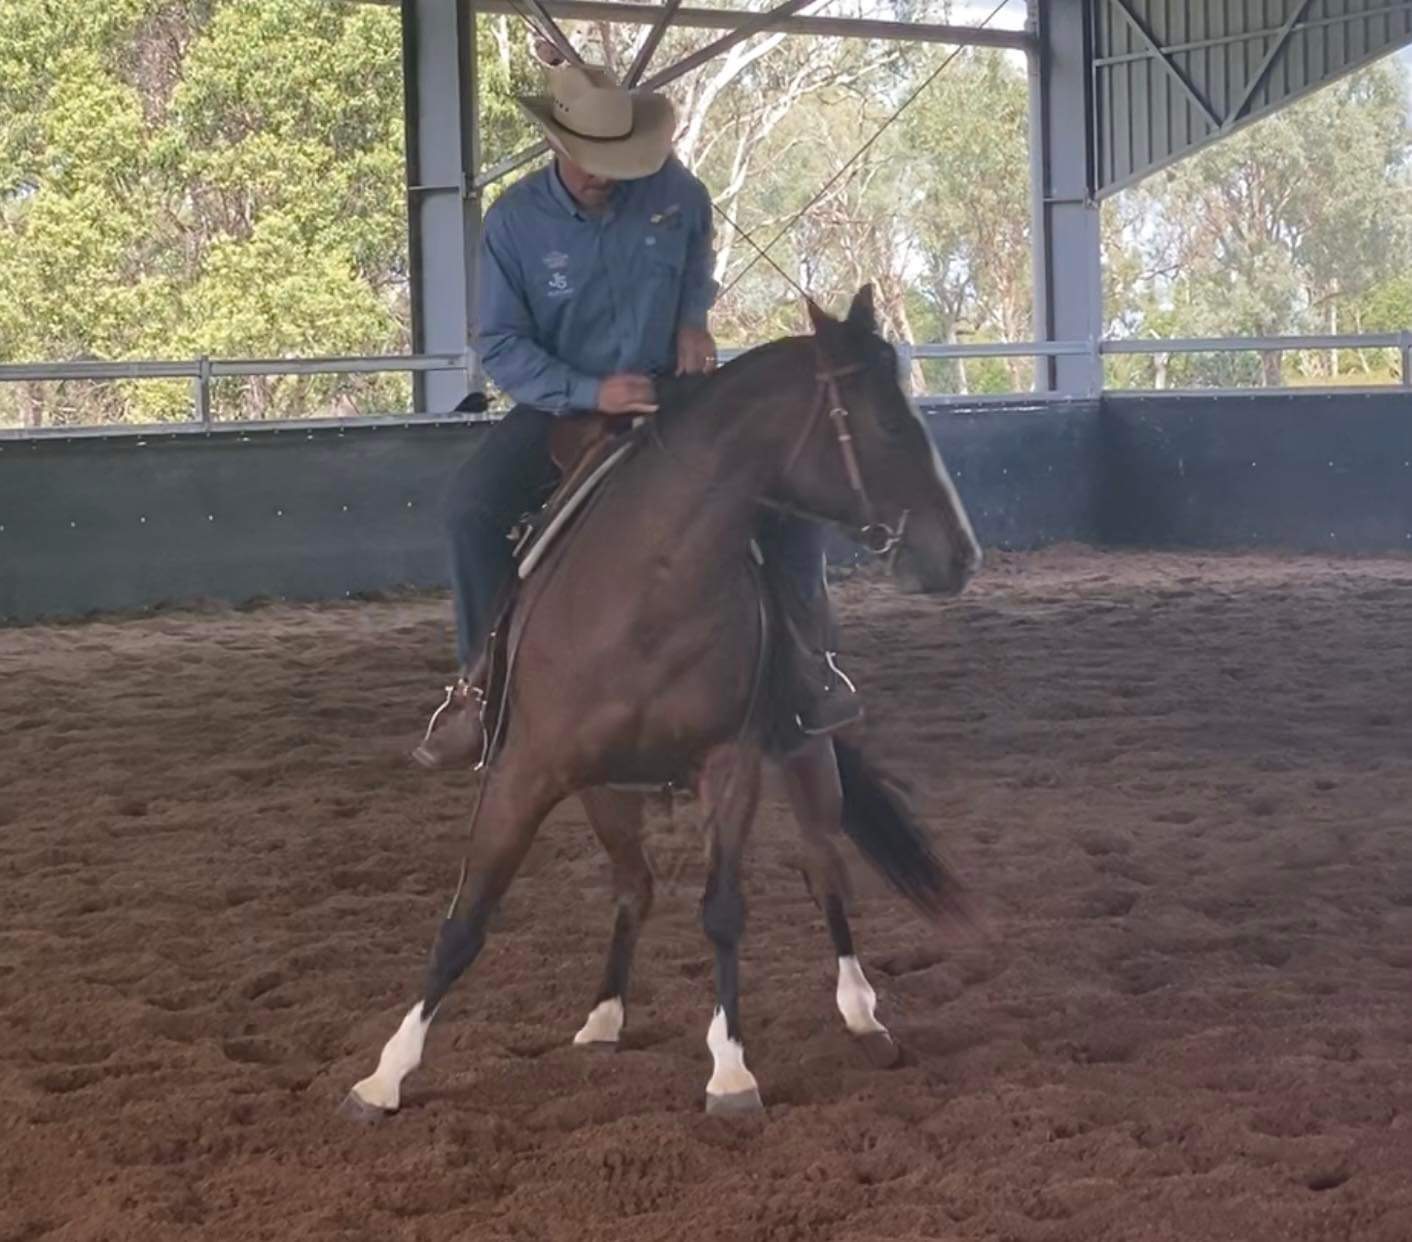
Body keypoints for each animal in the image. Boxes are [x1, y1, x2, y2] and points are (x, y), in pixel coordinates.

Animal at [341, 286, 982, 1120]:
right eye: (883, 422)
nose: (959, 555)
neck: (648, 587)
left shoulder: (731, 763)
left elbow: (723, 909)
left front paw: (731, 1071)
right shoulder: (525, 770)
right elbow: (467, 917)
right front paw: (384, 1075)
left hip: (806, 750)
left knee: (823, 867)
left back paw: (862, 1014)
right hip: (605, 787)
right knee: (634, 886)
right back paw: (604, 1017)